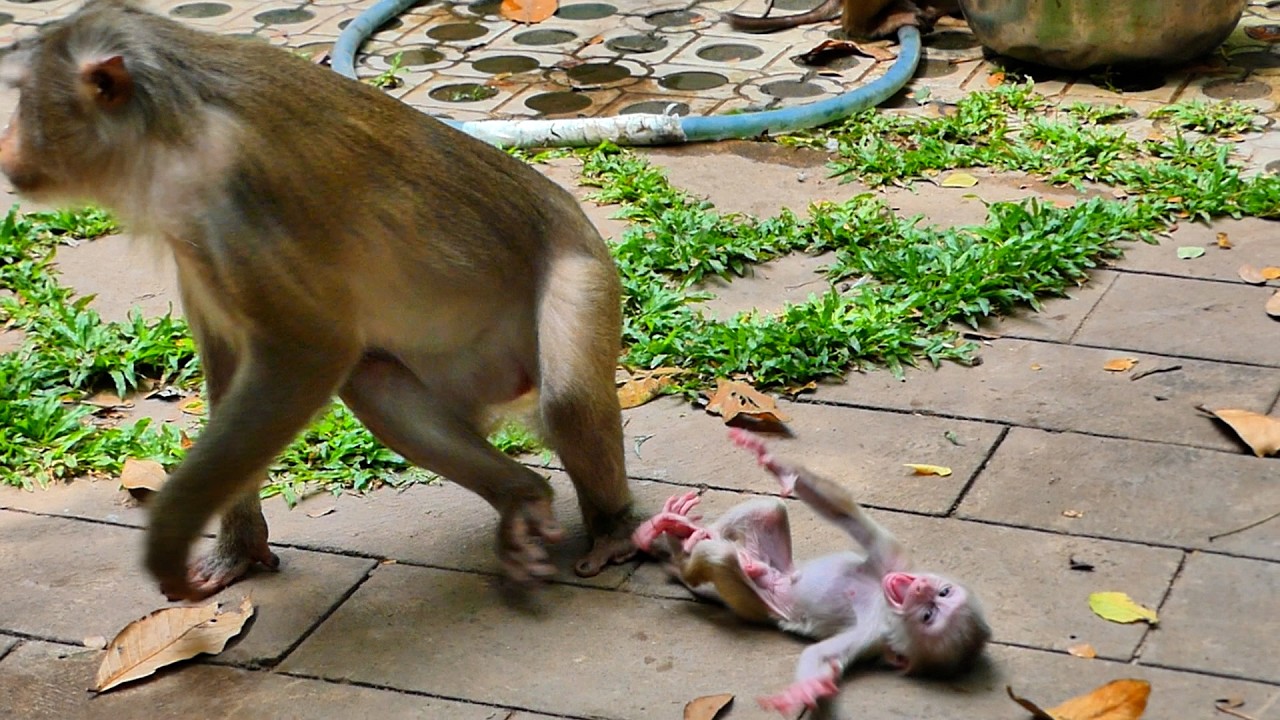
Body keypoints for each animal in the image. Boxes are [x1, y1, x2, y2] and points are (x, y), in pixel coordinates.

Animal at [0, 0, 639, 601]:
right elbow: (233, 358)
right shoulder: (194, 233)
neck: (165, 121)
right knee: (373, 380)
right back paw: (520, 496)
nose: (7, 147)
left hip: (582, 266)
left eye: (26, 97)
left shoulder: (232, 190)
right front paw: (239, 545)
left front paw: (169, 537)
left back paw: (611, 530)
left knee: (569, 401)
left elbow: (309, 351)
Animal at [632, 429, 990, 716]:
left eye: (929, 615)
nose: (921, 588)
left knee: (721, 558)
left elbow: (821, 657)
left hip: (754, 602)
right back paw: (675, 528)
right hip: (772, 559)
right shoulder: (894, 559)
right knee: (768, 509)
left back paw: (685, 555)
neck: (882, 600)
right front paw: (770, 459)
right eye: (942, 592)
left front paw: (805, 691)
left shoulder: (874, 636)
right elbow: (845, 514)